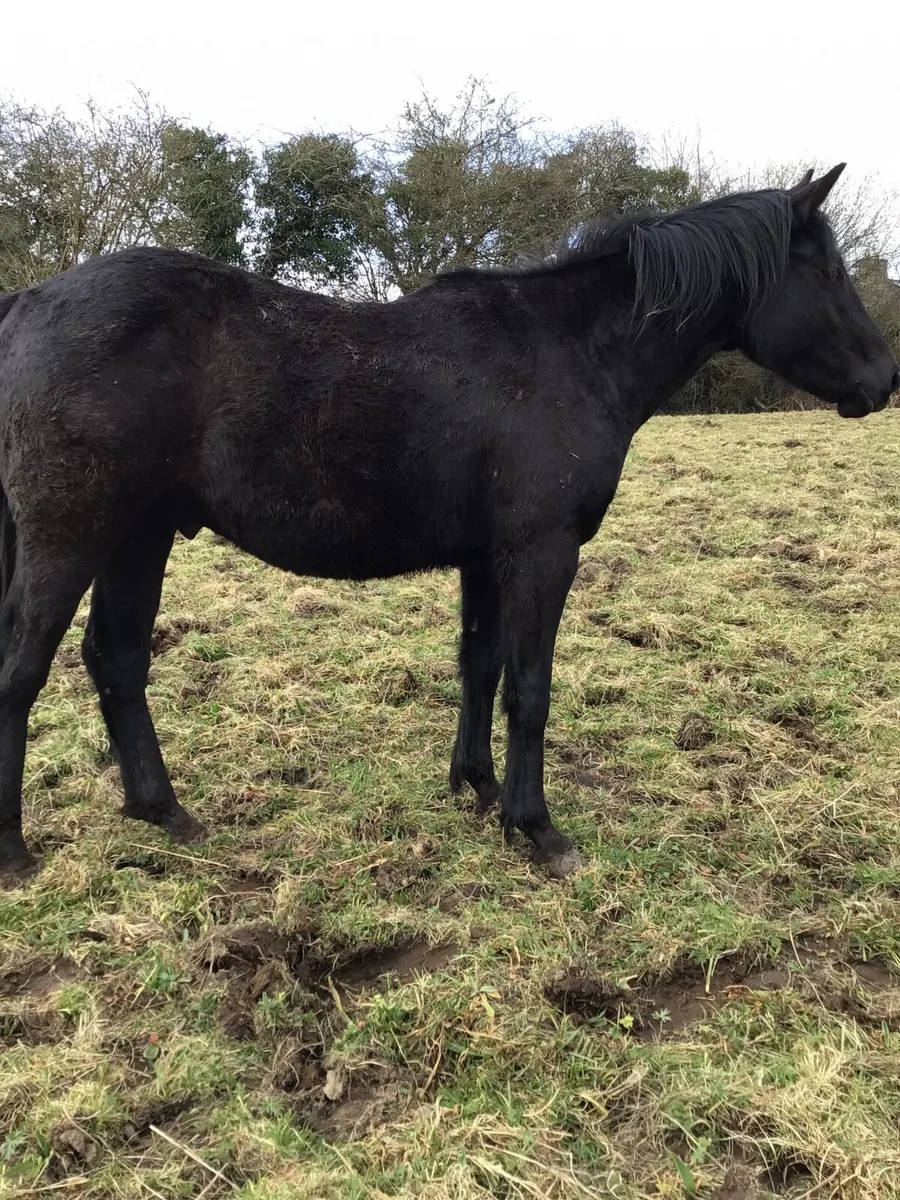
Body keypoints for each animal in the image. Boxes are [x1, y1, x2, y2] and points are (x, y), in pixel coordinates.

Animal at [0, 163, 897, 880]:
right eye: (827, 270)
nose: (884, 378)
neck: (570, 352)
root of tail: (30, 302)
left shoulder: (485, 557)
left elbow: (481, 668)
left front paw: (478, 788)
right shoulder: (541, 553)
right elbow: (529, 687)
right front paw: (538, 830)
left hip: (138, 535)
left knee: (117, 660)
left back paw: (164, 811)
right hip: (68, 537)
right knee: (24, 670)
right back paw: (16, 851)